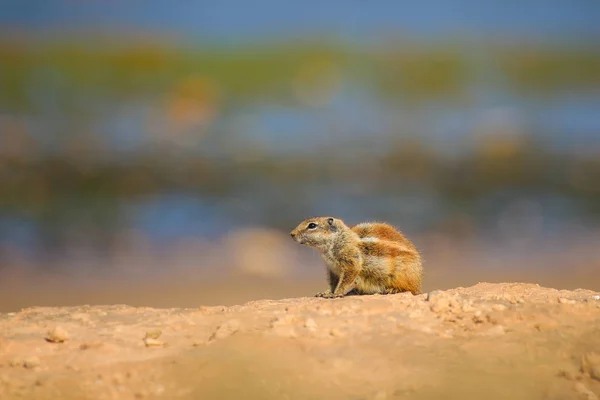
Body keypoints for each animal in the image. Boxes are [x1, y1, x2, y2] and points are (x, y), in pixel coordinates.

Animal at [290, 217, 422, 298]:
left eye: (312, 225)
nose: (292, 234)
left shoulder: (351, 261)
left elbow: (346, 278)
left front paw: (336, 293)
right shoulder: (332, 269)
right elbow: (333, 283)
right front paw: (326, 292)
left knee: (411, 289)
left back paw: (394, 290)